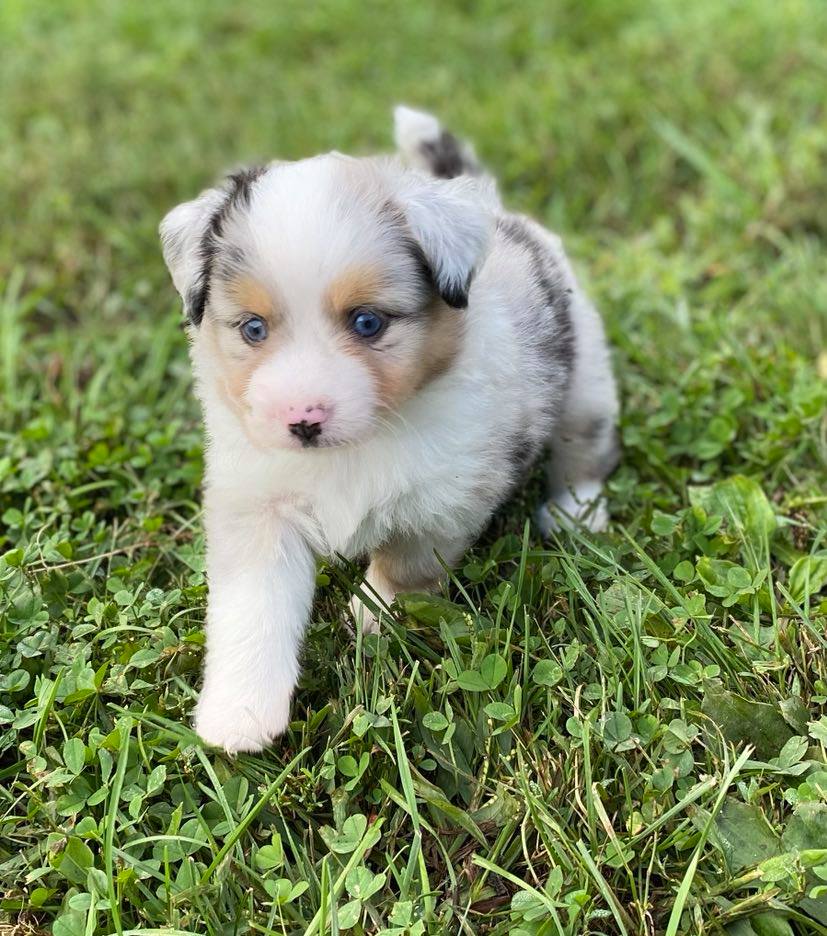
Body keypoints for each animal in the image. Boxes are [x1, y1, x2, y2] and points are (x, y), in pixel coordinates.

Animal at [158, 108, 616, 752]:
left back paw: (577, 511)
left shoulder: (442, 503)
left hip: (586, 378)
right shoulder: (257, 508)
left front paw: (376, 615)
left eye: (367, 322)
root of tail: (496, 210)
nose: (303, 420)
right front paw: (239, 716)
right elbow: (253, 611)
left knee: (584, 447)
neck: (352, 450)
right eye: (252, 329)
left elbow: (404, 567)